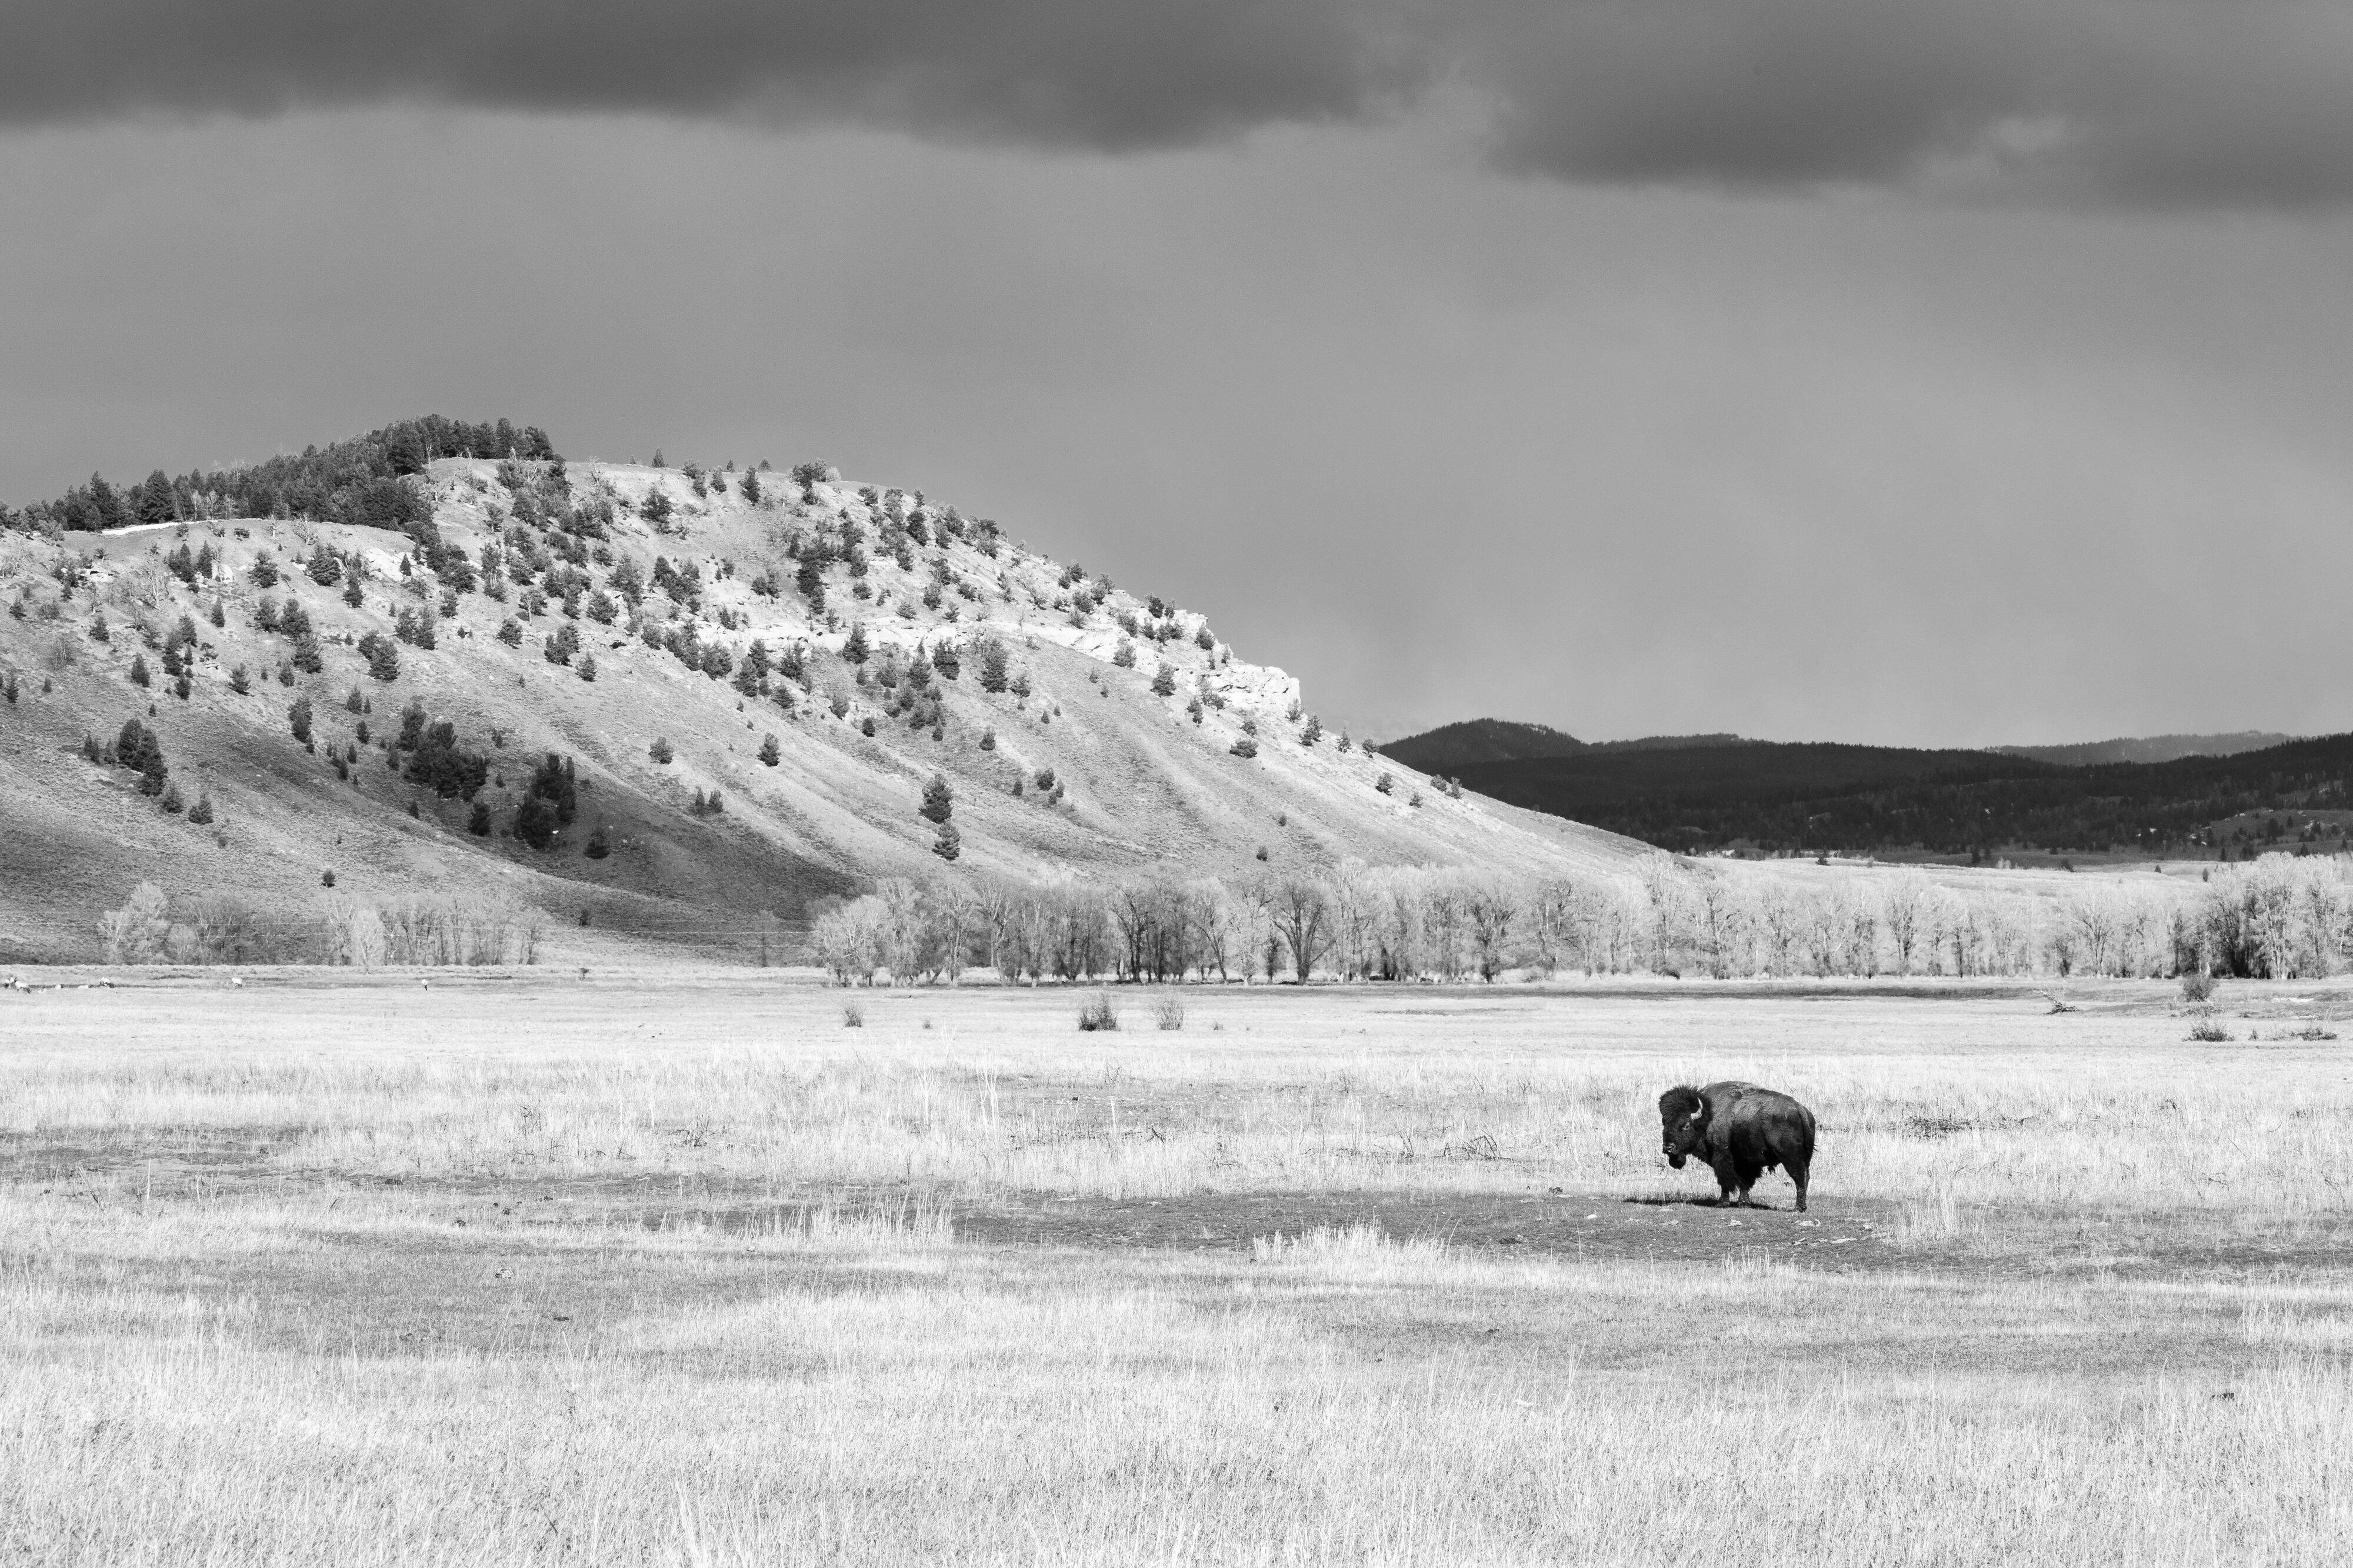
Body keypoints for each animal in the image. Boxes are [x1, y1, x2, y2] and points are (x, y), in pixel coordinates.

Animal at [1658, 1081, 1816, 1211]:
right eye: (1665, 1123)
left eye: (1686, 1125)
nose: (1668, 1147)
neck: (1707, 1117)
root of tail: (1799, 1108)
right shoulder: (1745, 1161)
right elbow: (1745, 1181)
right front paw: (1743, 1202)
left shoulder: (1721, 1155)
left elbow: (1725, 1180)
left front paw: (1722, 1203)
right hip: (1805, 1157)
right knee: (1806, 1176)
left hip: (1789, 1156)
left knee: (1800, 1177)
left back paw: (1799, 1208)